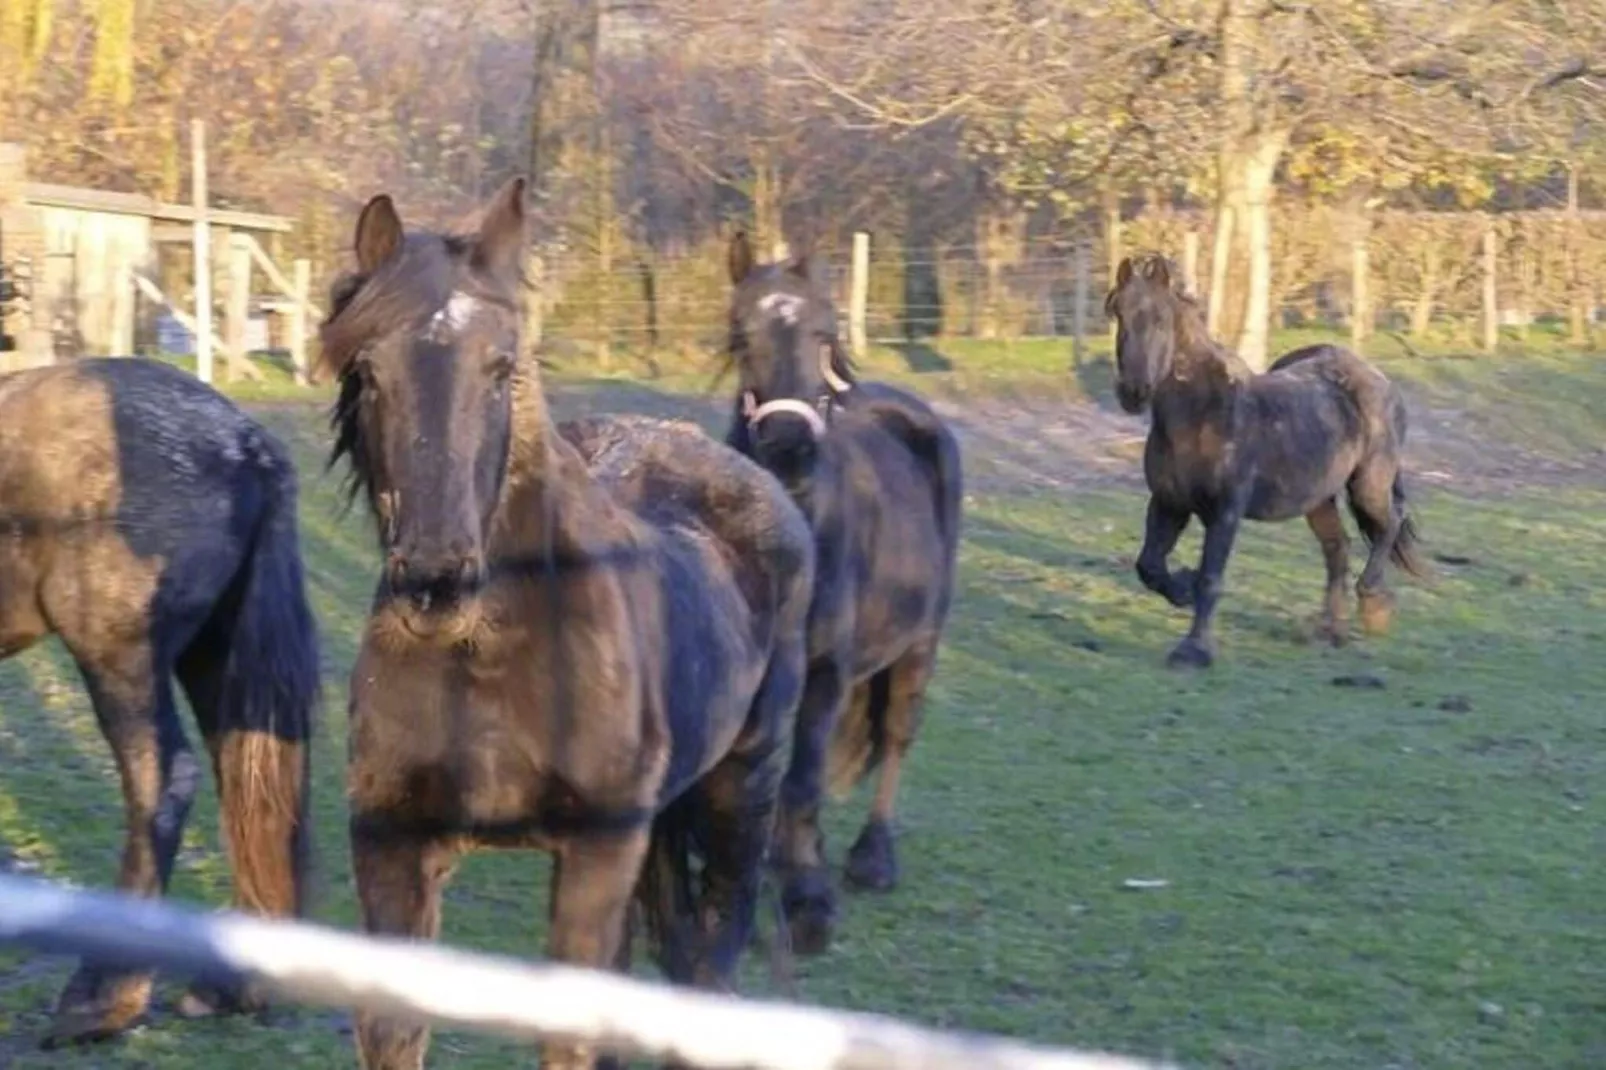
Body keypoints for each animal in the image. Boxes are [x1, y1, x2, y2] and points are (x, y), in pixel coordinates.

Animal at [0, 353, 319, 1034]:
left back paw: (102, 998)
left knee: (161, 781)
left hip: (120, 659)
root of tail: (246, 443)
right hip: (215, 659)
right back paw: (228, 989)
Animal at [321, 179, 815, 1060]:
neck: (494, 661)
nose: (436, 583)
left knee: (708, 963)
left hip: (741, 794)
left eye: (500, 367)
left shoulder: (596, 854)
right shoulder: (392, 850)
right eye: (368, 371)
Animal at [722, 231, 957, 951]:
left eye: (824, 334)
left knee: (898, 736)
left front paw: (807, 900)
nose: (789, 446)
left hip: (920, 645)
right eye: (740, 336)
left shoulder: (825, 669)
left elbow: (802, 777)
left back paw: (871, 858)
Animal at [1104, 250, 1432, 668]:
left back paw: (1374, 604)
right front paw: (1183, 588)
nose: (1134, 391)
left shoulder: (1225, 511)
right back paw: (1330, 630)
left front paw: (1194, 650)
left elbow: (1211, 577)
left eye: (1161, 317)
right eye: (1118, 311)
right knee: (1338, 548)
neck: (1199, 416)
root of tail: (1380, 380)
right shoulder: (1169, 503)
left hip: (1368, 484)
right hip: (1317, 498)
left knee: (1389, 523)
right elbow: (1149, 566)